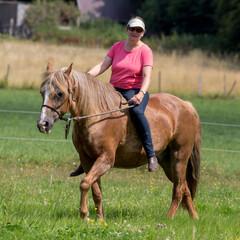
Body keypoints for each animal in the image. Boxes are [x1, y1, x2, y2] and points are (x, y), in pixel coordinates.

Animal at [37, 62, 202, 220]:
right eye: (42, 92)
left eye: (59, 93)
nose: (42, 124)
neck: (96, 116)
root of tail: (187, 106)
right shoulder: (87, 160)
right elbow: (95, 190)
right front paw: (100, 218)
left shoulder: (106, 159)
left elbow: (84, 184)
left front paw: (84, 214)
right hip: (167, 161)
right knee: (184, 187)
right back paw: (194, 218)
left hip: (180, 156)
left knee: (179, 188)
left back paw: (168, 218)